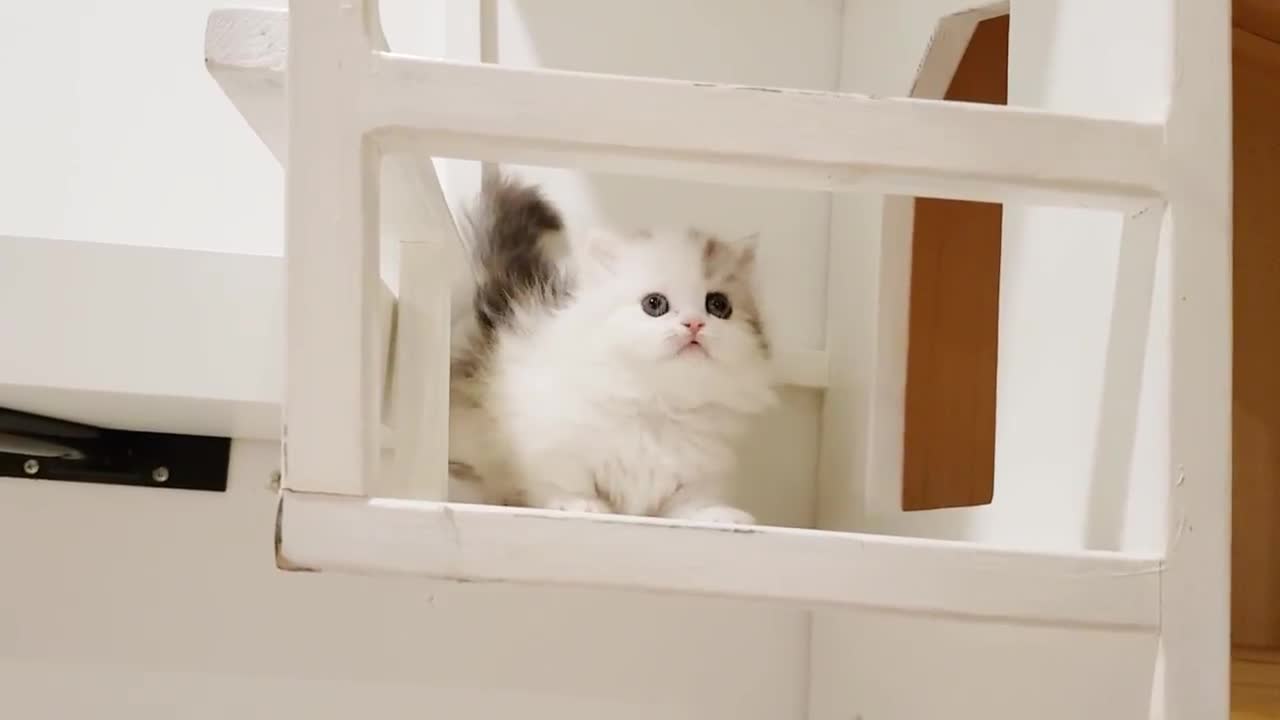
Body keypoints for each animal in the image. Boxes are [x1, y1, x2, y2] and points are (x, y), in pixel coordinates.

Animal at [445, 174, 773, 520]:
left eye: (718, 305)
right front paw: (581, 504)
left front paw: (721, 514)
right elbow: (564, 480)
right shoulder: (551, 440)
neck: (659, 404)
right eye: (654, 304)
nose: (694, 324)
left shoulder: (698, 472)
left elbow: (691, 503)